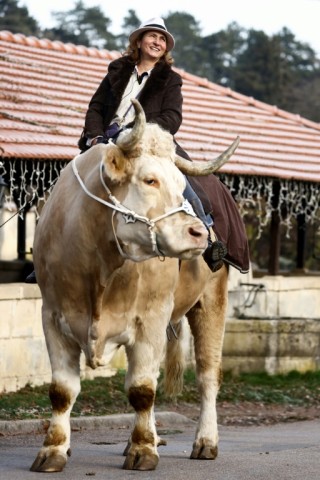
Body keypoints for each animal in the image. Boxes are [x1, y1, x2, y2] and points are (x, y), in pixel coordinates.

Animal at [30, 99, 240, 470]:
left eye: (181, 184)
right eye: (149, 179)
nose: (199, 233)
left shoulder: (151, 319)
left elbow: (142, 389)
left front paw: (143, 450)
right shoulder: (53, 317)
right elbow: (62, 391)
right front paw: (53, 450)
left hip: (211, 301)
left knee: (207, 375)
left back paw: (205, 441)